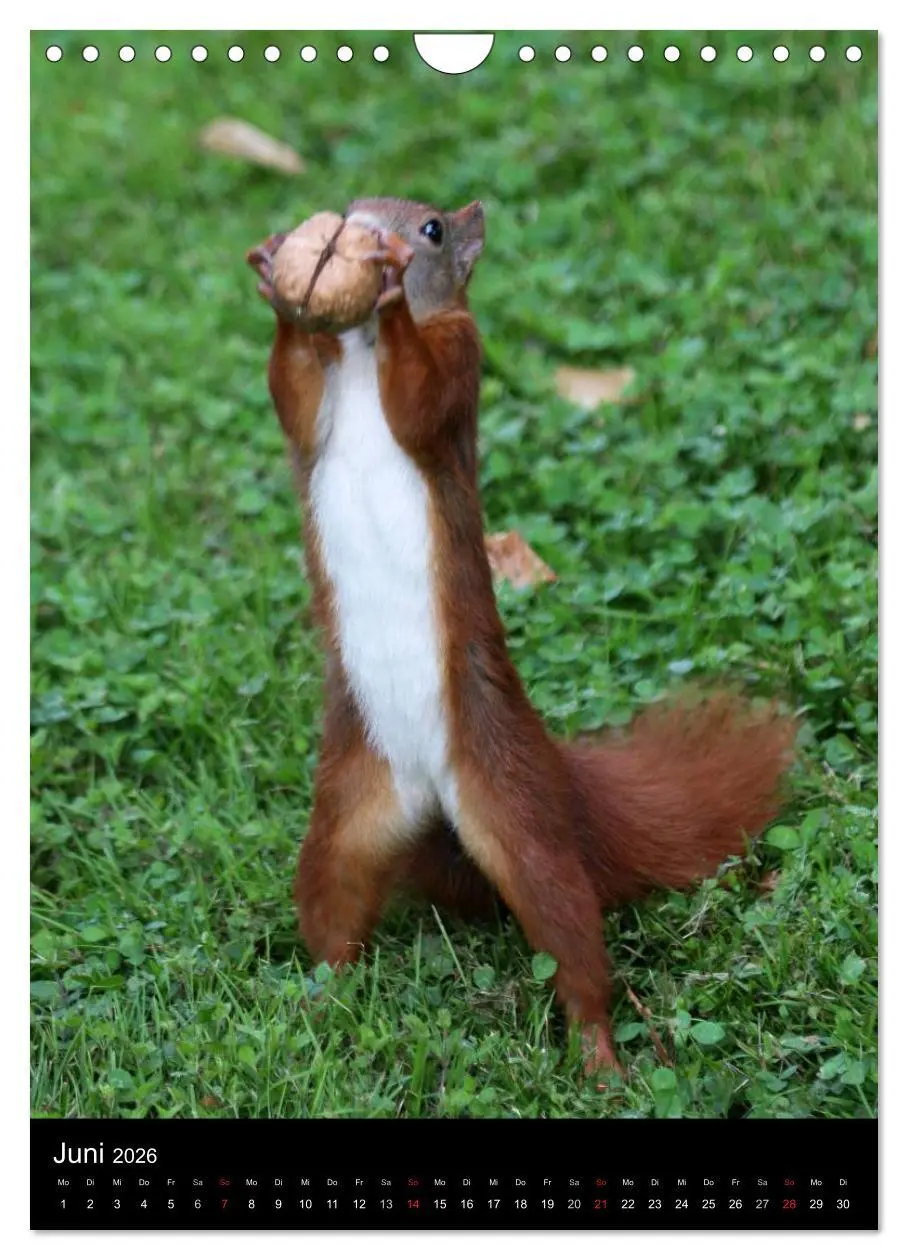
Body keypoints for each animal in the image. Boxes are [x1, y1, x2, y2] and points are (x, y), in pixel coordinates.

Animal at [246, 197, 797, 1075]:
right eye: (355, 207)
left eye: (434, 228)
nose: (368, 233)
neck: (359, 354)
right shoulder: (316, 406)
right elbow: (293, 394)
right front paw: (277, 279)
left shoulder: (460, 360)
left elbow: (423, 397)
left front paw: (391, 294)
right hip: (347, 818)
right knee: (332, 916)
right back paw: (319, 1006)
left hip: (518, 814)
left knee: (570, 937)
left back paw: (599, 1059)